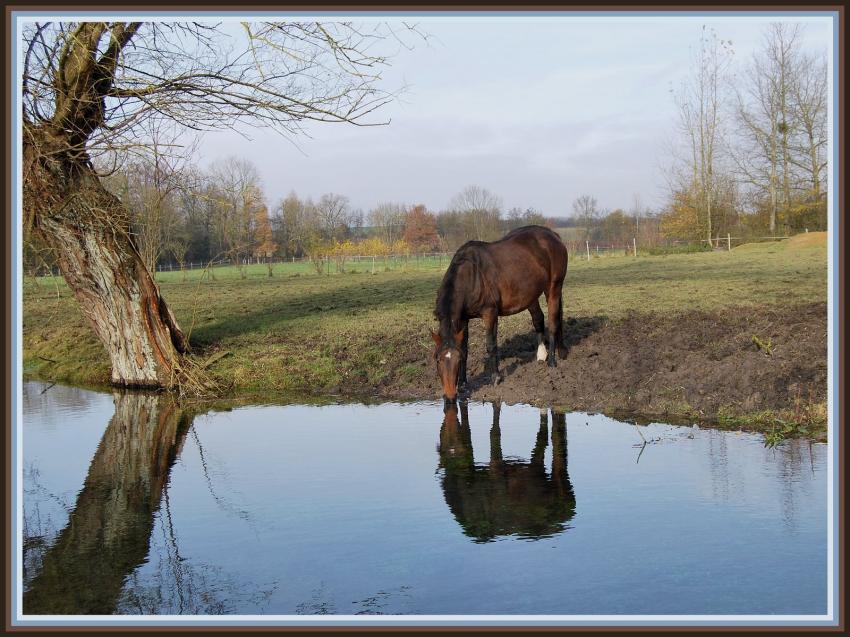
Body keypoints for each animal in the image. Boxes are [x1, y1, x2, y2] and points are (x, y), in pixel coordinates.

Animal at [430, 226, 568, 400]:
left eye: (456, 361)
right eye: (437, 360)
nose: (450, 395)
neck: (471, 276)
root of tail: (553, 235)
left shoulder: (490, 313)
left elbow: (491, 344)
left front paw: (495, 377)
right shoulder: (463, 319)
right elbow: (464, 348)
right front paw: (462, 384)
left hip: (554, 288)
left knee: (554, 321)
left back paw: (552, 361)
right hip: (531, 294)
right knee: (538, 319)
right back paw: (542, 355)